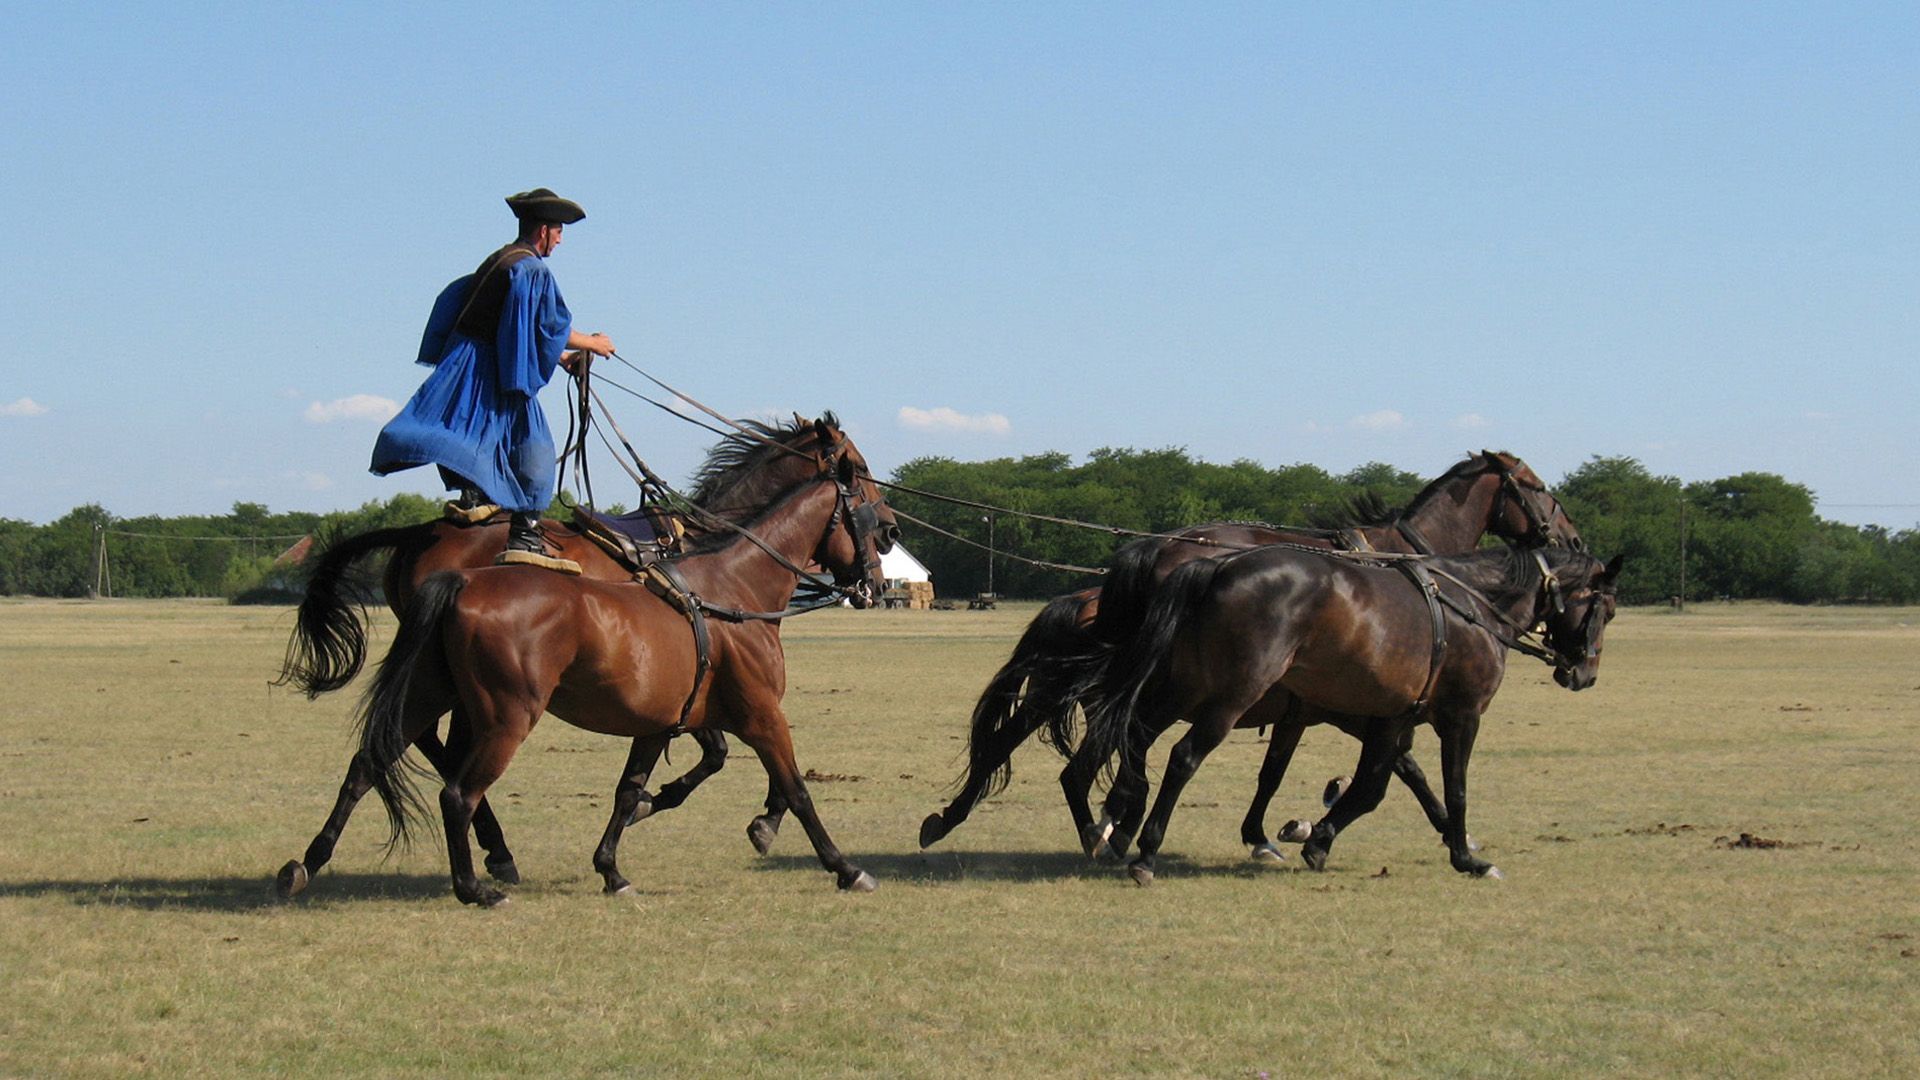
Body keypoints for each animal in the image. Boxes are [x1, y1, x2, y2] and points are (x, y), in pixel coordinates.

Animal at [278, 417, 898, 903]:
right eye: (862, 481)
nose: (886, 552)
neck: (734, 584)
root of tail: (457, 576)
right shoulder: (760, 713)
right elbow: (793, 788)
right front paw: (841, 865)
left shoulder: (664, 721)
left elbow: (633, 789)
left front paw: (615, 864)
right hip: (505, 715)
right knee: (455, 788)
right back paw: (480, 881)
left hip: (431, 691)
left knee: (371, 761)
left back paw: (308, 862)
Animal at [921, 445, 1582, 849]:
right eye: (1537, 486)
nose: (1572, 539)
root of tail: (1152, 552)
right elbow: (1402, 767)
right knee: (1098, 750)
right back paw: (1107, 821)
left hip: (1067, 690)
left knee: (1017, 739)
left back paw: (960, 818)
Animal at [1082, 541, 1620, 880]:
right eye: (1608, 610)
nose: (1584, 674)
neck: (1474, 604)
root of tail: (1216, 568)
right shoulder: (1462, 716)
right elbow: (1456, 788)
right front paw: (1467, 858)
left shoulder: (1391, 718)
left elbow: (1371, 789)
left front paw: (1318, 839)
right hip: (1229, 696)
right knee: (1184, 757)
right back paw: (1145, 852)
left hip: (1184, 689)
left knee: (1134, 737)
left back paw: (1118, 828)